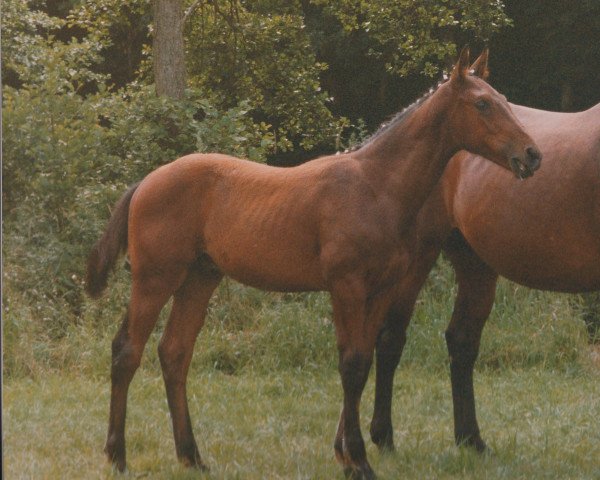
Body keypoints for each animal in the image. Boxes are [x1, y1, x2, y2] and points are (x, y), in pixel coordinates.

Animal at [84, 47, 540, 478]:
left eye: (503, 100)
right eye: (482, 104)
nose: (532, 155)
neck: (375, 187)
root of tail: (146, 181)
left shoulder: (380, 289)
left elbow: (363, 361)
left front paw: (347, 456)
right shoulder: (346, 285)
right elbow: (351, 365)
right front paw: (358, 461)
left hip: (200, 278)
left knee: (175, 353)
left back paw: (192, 457)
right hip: (155, 278)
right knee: (127, 351)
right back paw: (117, 455)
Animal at [370, 71, 600, 454]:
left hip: (475, 265)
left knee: (461, 341)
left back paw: (470, 440)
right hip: (419, 256)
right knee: (391, 338)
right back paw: (383, 437)